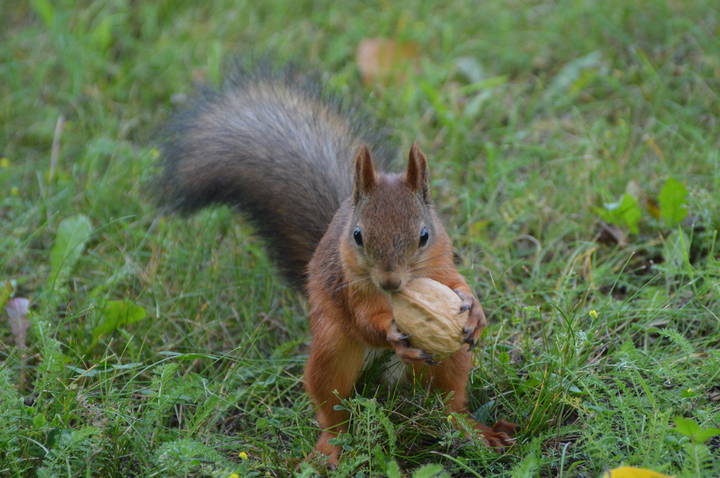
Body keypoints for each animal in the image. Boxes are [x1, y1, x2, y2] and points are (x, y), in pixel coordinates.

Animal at [156, 60, 516, 467]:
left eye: (424, 235)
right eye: (358, 235)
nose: (390, 282)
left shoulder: (441, 264)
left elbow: (457, 283)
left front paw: (475, 309)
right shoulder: (350, 286)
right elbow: (365, 319)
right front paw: (391, 329)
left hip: (452, 357)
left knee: (448, 403)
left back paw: (475, 432)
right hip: (330, 347)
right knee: (331, 406)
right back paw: (331, 448)